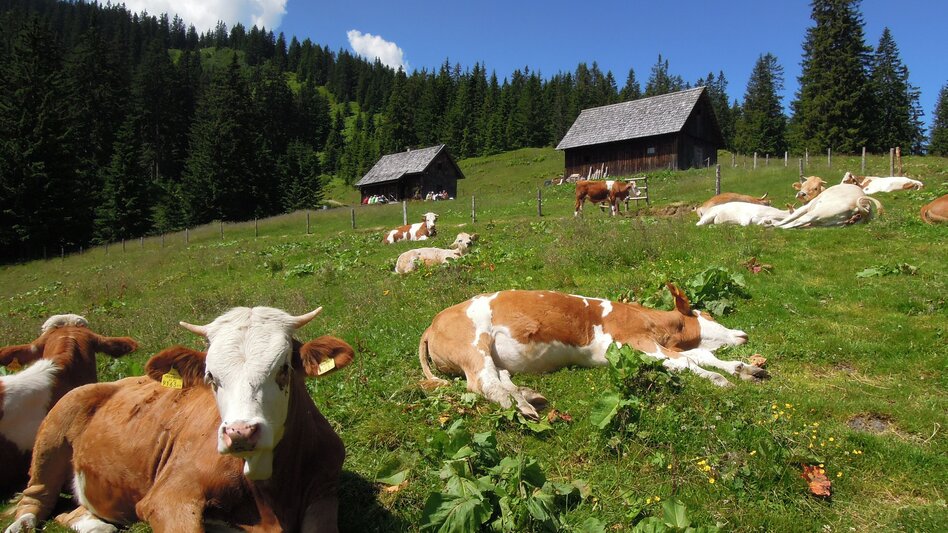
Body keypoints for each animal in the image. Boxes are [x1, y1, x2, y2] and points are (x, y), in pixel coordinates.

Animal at [417, 284, 767, 420]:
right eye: (708, 316)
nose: (744, 333)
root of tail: (432, 323)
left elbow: (698, 357)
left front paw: (745, 368)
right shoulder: (636, 345)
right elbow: (688, 363)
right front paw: (721, 379)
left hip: (494, 354)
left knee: (499, 376)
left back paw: (529, 397)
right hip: (472, 346)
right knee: (483, 382)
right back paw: (519, 406)